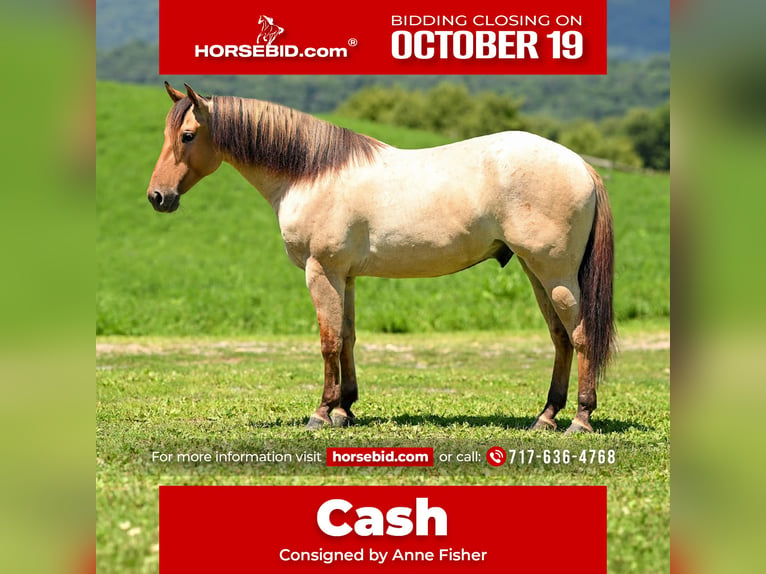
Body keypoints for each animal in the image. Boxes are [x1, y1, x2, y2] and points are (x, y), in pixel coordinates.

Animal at [148, 82, 615, 434]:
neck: (311, 172)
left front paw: (322, 412)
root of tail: (580, 165)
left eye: (187, 136)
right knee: (560, 338)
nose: (157, 197)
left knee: (581, 335)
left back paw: (580, 418)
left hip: (555, 273)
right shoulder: (346, 276)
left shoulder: (322, 271)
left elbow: (328, 341)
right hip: (536, 272)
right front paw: (345, 409)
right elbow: (348, 337)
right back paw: (546, 416)